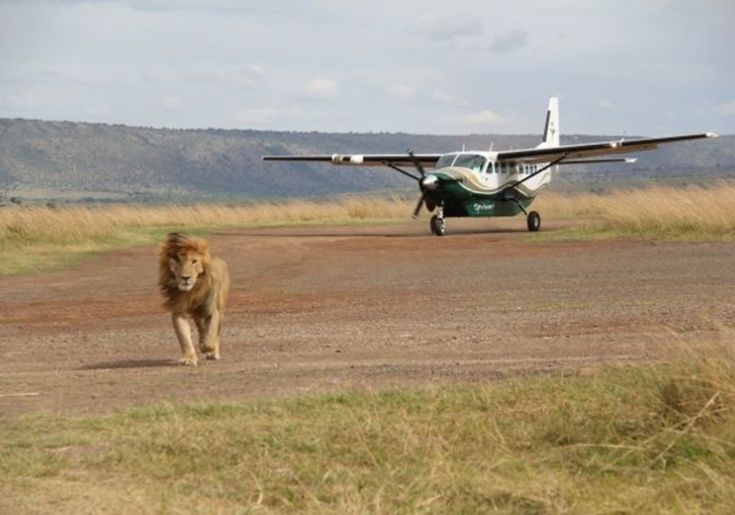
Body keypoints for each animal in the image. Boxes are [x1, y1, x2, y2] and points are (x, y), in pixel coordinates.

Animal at [158, 234, 230, 366]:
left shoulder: (212, 310)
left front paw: (207, 348)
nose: (185, 278)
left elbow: (211, 336)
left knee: (216, 332)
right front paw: (189, 358)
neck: (191, 292)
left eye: (194, 261)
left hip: (220, 308)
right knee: (200, 326)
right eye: (178, 260)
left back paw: (213, 352)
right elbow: (184, 337)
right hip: (197, 314)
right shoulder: (178, 311)